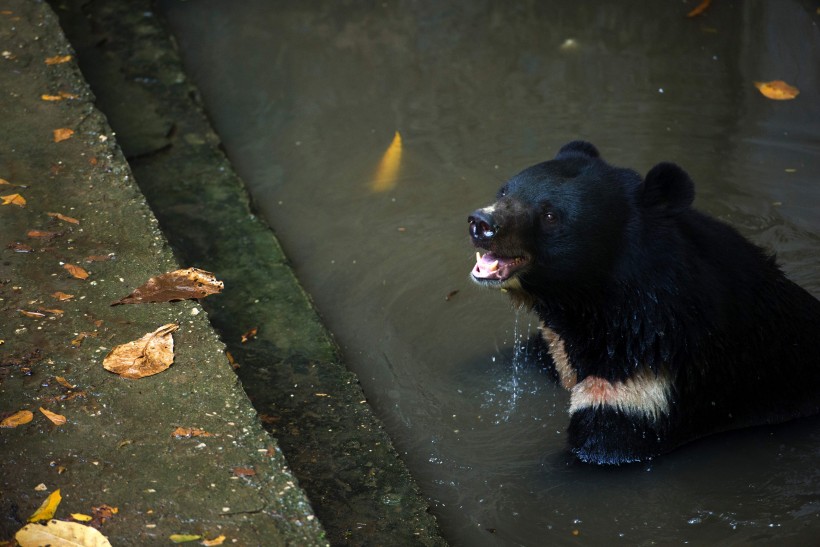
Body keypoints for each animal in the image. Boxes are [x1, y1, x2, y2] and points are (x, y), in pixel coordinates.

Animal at [468, 139, 820, 464]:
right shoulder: (564, 343)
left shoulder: (647, 384)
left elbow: (605, 445)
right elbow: (539, 351)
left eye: (550, 215)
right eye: (504, 191)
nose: (481, 224)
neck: (593, 300)